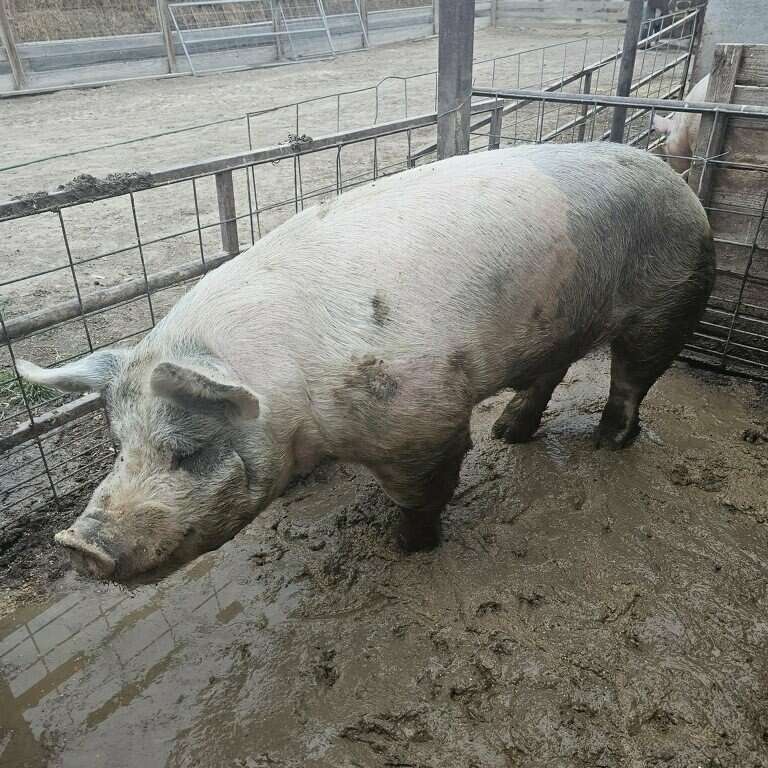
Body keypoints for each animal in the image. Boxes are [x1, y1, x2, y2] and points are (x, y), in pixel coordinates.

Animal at [17, 142, 715, 581]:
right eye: (118, 447)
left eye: (187, 452)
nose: (78, 544)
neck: (294, 400)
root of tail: (679, 182)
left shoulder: (423, 418)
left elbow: (425, 494)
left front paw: (406, 550)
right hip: (560, 320)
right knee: (551, 372)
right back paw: (507, 433)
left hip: (670, 296)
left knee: (632, 380)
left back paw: (607, 444)